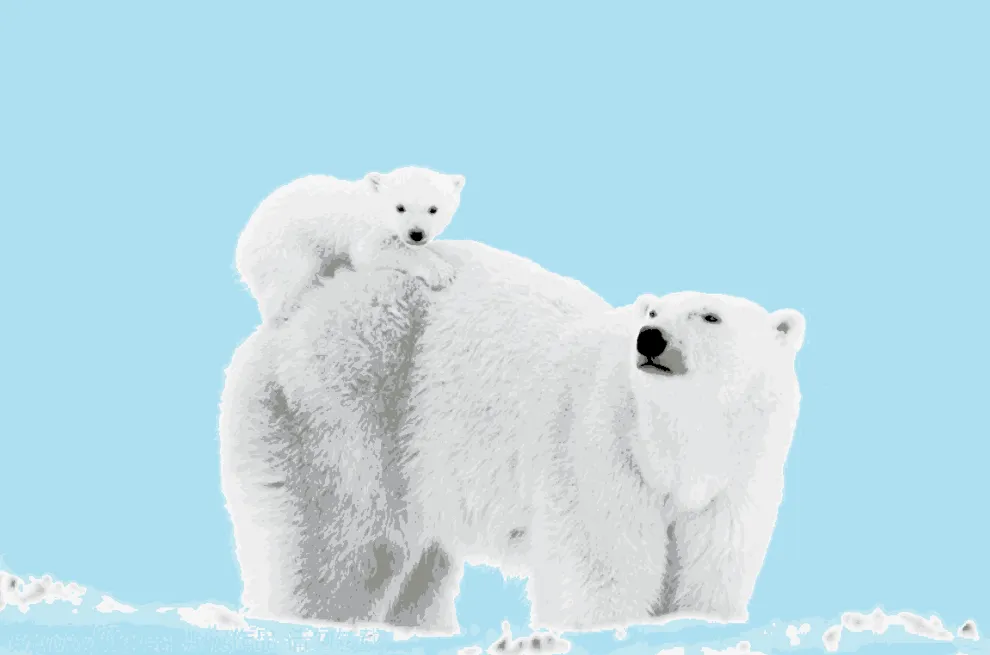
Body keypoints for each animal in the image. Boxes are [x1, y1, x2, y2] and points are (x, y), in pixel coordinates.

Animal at [234, 166, 465, 324]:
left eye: (433, 209)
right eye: (400, 207)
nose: (416, 234)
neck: (373, 204)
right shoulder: (366, 230)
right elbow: (373, 253)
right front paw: (441, 271)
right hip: (283, 249)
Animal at [522, 291, 806, 633]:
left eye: (710, 316)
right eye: (654, 312)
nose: (649, 338)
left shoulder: (733, 479)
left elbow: (714, 558)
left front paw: (700, 618)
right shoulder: (602, 457)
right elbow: (603, 564)